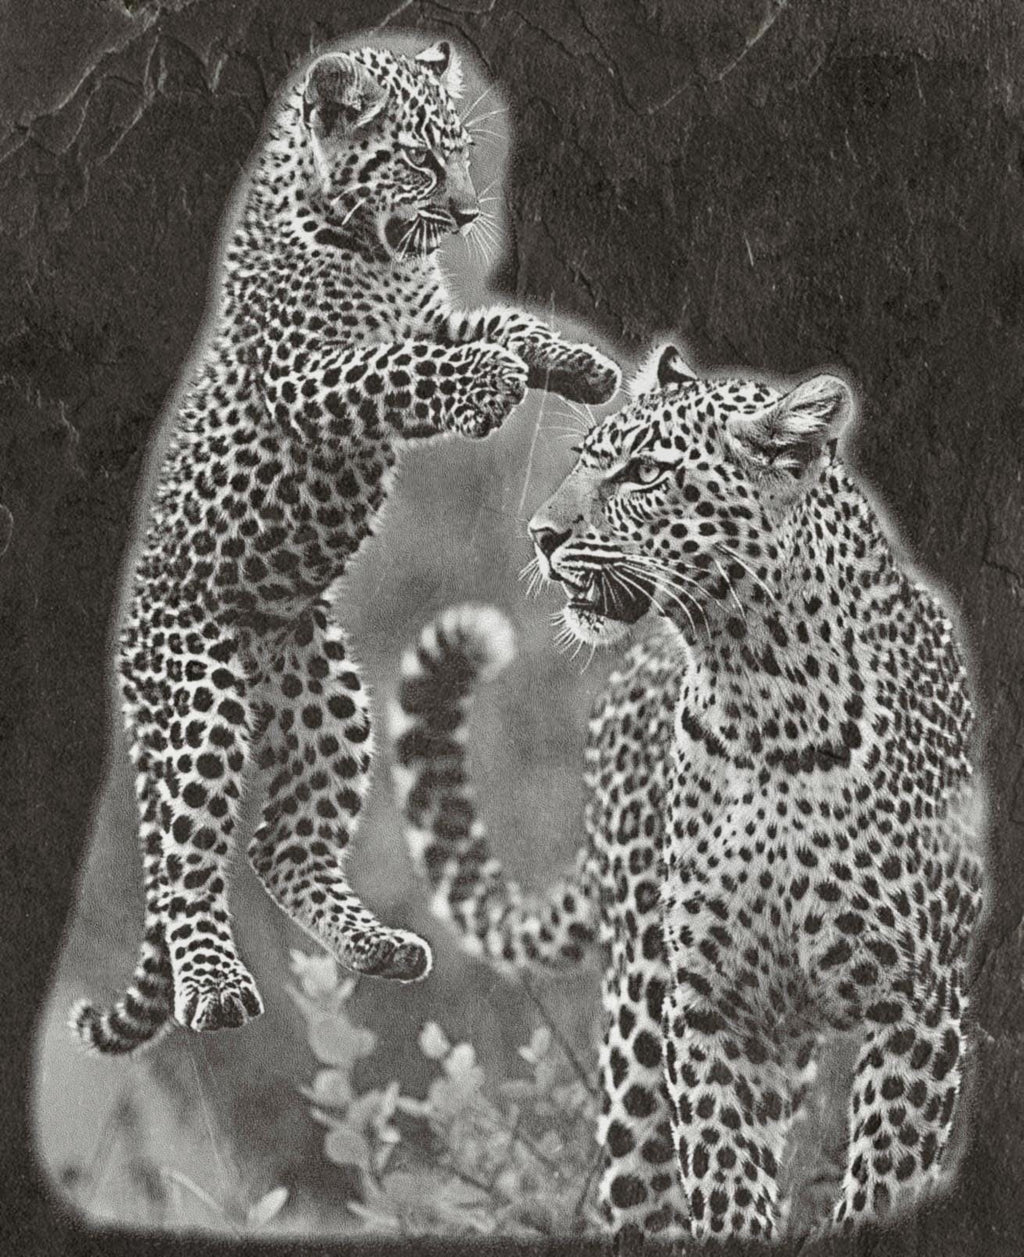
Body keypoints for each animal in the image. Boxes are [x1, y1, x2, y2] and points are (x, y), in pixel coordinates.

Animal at [70, 37, 618, 1055]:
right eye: (418, 160)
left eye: (462, 152)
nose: (470, 212)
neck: (364, 242)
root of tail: (131, 643)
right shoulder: (311, 373)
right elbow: (401, 368)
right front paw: (490, 380)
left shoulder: (430, 312)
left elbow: (497, 322)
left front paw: (575, 363)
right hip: (196, 695)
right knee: (185, 866)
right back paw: (215, 988)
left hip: (324, 693)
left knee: (279, 845)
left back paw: (379, 946)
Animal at [390, 345, 986, 1242]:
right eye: (583, 459)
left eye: (645, 473)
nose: (541, 535)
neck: (762, 693)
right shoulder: (710, 1007)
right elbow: (722, 1175)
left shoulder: (916, 1002)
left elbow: (882, 1181)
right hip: (642, 1016)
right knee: (638, 1192)